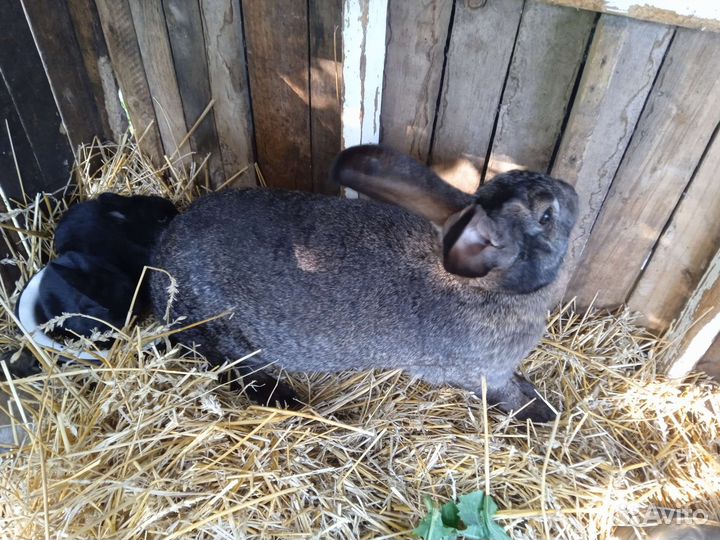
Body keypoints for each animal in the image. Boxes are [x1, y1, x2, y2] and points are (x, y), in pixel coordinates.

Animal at [149, 144, 578, 422]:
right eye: (546, 216)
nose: (572, 190)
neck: (485, 288)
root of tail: (159, 263)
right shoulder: (479, 372)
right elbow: (506, 395)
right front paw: (543, 413)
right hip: (221, 332)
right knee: (224, 361)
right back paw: (283, 397)